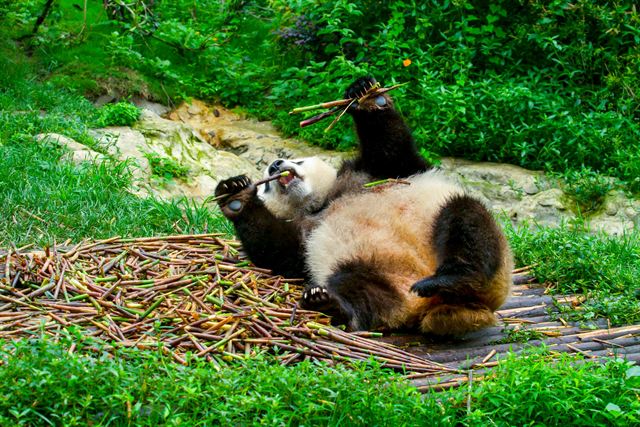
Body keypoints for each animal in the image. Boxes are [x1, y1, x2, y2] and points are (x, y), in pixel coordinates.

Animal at [215, 77, 513, 335]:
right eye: (265, 186)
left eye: (298, 161)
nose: (276, 165)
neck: (322, 201)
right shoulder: (305, 233)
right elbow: (276, 249)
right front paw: (235, 196)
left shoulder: (375, 173)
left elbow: (391, 148)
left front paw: (366, 95)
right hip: (366, 265)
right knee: (358, 288)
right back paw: (328, 303)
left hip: (458, 230)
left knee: (465, 219)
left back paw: (457, 276)